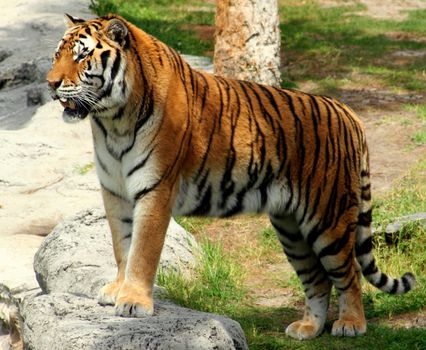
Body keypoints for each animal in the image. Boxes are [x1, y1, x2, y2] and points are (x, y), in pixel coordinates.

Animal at [47, 13, 416, 340]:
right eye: (57, 55)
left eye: (81, 56)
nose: (50, 84)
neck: (112, 121)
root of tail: (348, 112)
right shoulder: (115, 191)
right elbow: (122, 245)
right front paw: (118, 289)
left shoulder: (155, 190)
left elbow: (142, 251)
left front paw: (134, 301)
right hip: (291, 228)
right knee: (318, 279)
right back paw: (308, 329)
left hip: (328, 218)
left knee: (349, 272)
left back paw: (351, 324)